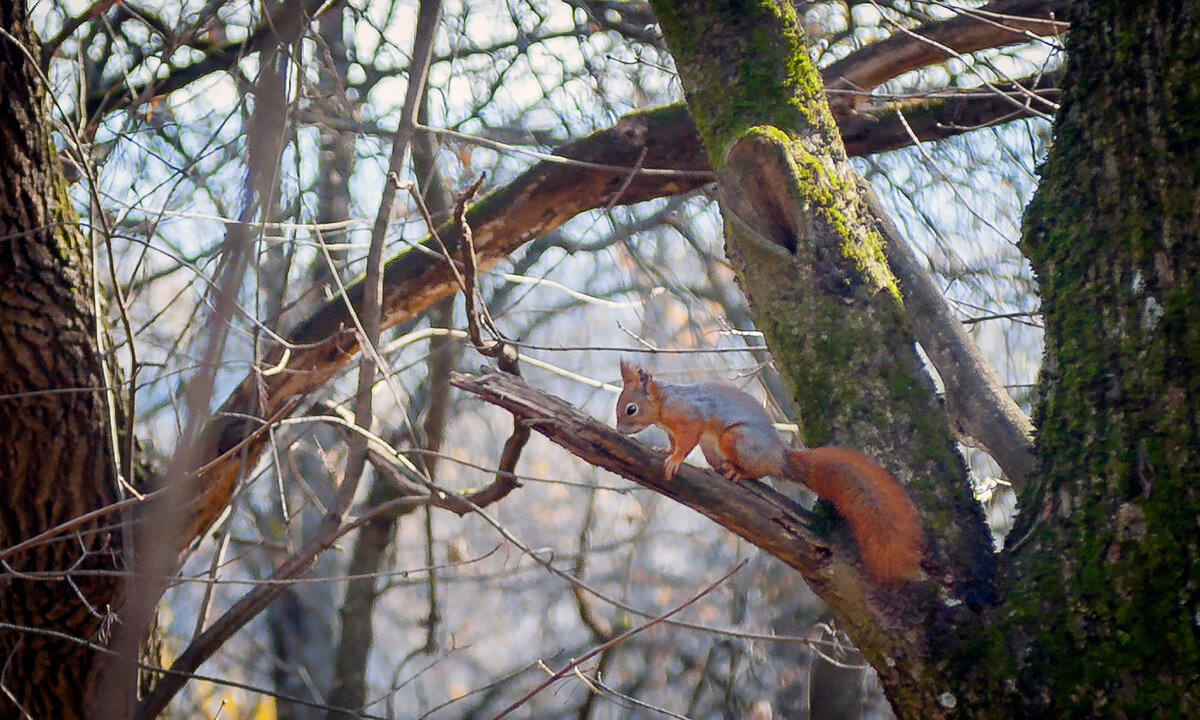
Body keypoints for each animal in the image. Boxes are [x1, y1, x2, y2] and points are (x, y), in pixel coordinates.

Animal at [614, 360, 921, 585]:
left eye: (631, 409)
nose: (619, 430)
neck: (666, 404)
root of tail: (779, 457)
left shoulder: (690, 420)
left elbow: (686, 442)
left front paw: (675, 460)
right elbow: (672, 442)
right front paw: (664, 451)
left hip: (736, 440)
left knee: (758, 471)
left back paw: (737, 472)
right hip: (714, 449)